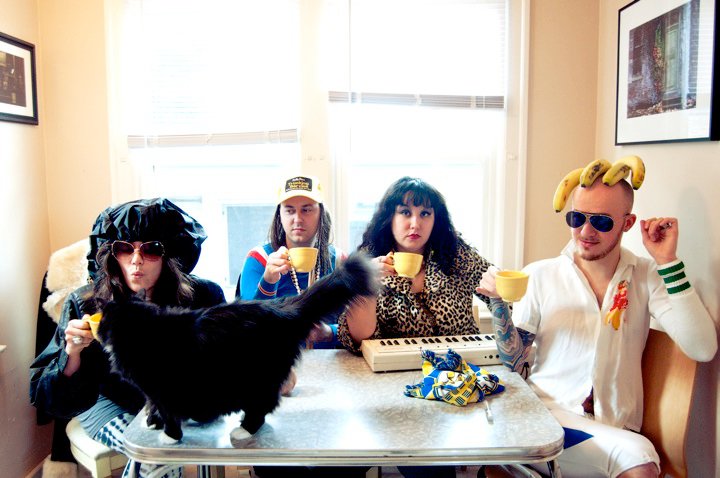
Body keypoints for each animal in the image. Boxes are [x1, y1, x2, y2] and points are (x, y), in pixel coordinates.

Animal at [97, 252, 376, 442]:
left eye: (102, 319)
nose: (97, 331)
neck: (143, 329)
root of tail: (282, 307)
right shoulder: (152, 390)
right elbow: (153, 406)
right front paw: (153, 421)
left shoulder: (162, 389)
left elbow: (168, 414)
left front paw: (169, 435)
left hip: (257, 380)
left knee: (262, 408)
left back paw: (244, 430)